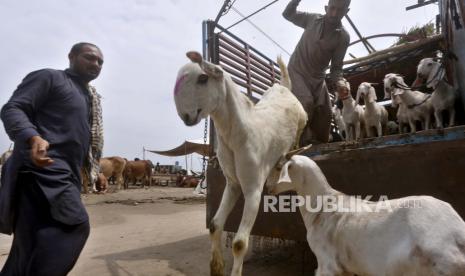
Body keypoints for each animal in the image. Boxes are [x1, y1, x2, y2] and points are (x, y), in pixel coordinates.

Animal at [172, 51, 306, 276]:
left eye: (203, 78)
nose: (186, 117)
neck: (240, 134)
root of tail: (284, 86)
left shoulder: (253, 188)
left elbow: (240, 243)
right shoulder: (233, 184)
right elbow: (215, 225)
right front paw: (216, 267)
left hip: (303, 119)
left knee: (297, 137)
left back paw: (292, 152)